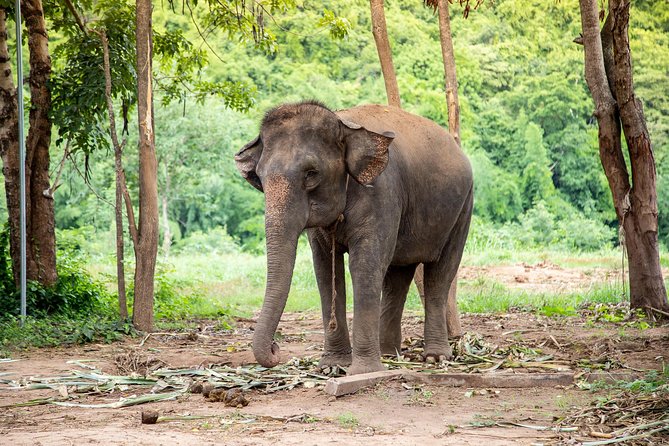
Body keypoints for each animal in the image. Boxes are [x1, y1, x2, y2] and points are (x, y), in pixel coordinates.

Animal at [235, 102, 474, 376]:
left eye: (311, 173)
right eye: (260, 177)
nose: (276, 348)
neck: (343, 124)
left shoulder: (381, 194)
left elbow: (364, 266)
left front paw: (363, 371)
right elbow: (326, 271)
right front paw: (332, 367)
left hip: (463, 209)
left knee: (440, 274)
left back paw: (435, 358)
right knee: (398, 276)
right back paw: (388, 354)